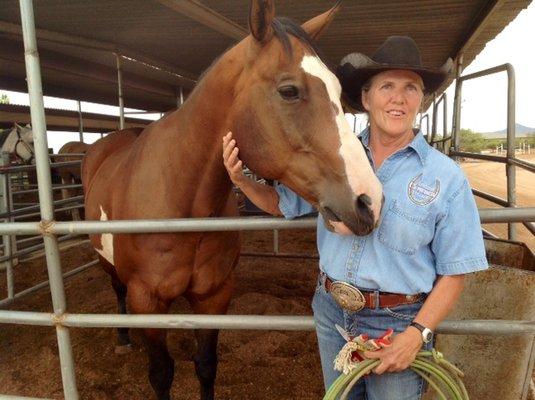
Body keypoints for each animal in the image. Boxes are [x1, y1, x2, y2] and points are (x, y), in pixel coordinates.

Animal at [81, 1, 384, 398]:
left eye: (337, 90)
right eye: (289, 91)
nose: (370, 201)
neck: (182, 208)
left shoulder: (215, 296)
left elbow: (206, 365)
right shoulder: (147, 301)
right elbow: (161, 373)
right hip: (112, 268)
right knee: (116, 291)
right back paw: (122, 338)